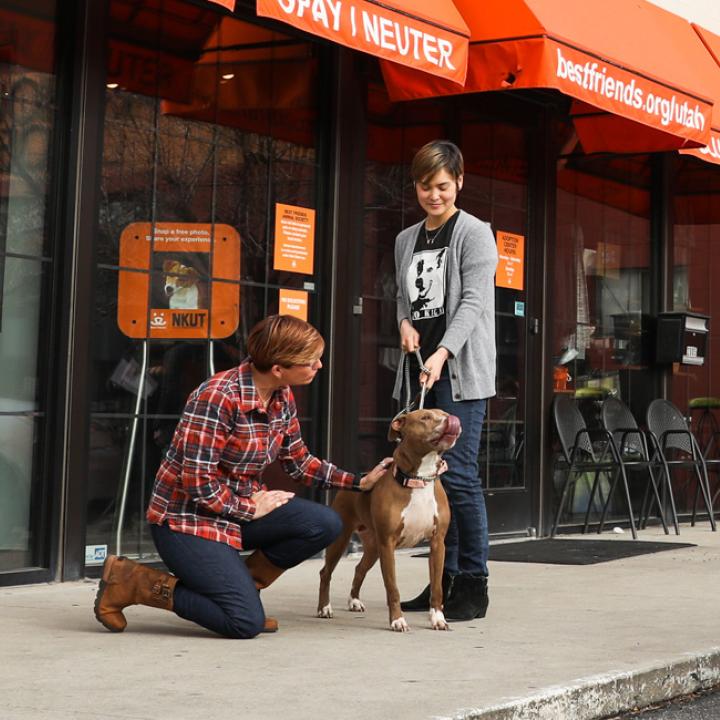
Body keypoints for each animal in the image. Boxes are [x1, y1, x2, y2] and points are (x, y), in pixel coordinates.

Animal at [316, 408, 462, 632]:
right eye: (425, 418)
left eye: (444, 413)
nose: (450, 420)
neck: (419, 479)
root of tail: (357, 479)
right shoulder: (388, 544)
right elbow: (392, 588)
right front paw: (397, 620)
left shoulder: (437, 544)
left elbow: (437, 587)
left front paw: (438, 618)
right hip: (342, 540)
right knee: (325, 573)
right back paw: (324, 608)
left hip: (373, 546)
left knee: (359, 569)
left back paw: (354, 601)